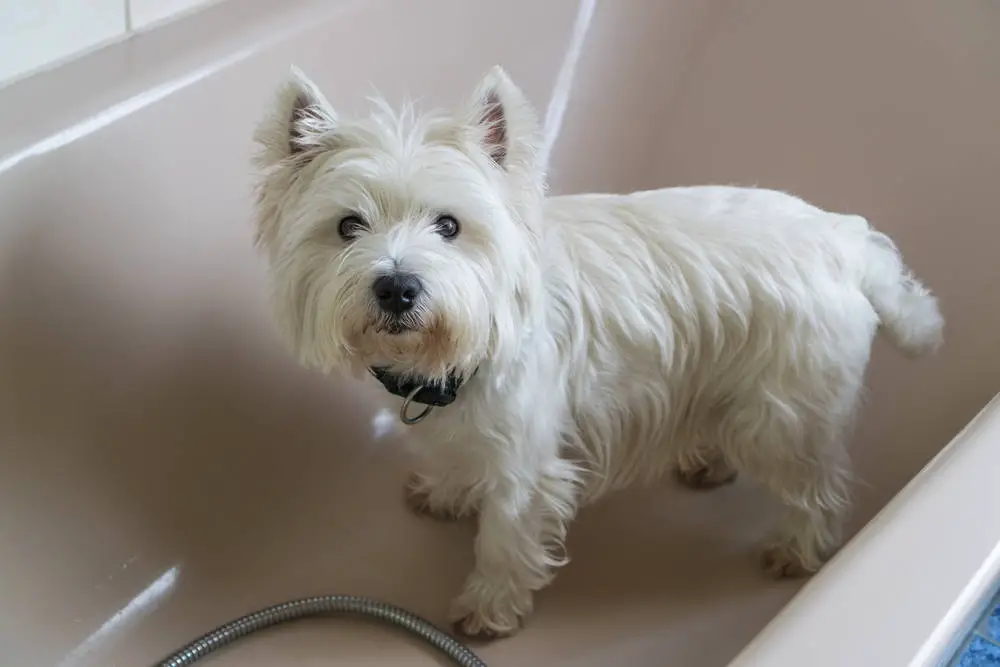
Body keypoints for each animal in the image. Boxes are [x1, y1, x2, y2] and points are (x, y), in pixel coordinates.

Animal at [252, 65, 944, 640]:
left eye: (449, 225)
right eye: (348, 226)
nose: (397, 287)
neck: (474, 339)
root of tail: (846, 241)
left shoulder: (527, 463)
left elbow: (504, 537)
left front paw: (488, 609)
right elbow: (457, 462)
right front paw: (446, 495)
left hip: (786, 411)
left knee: (817, 486)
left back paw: (794, 550)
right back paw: (707, 464)